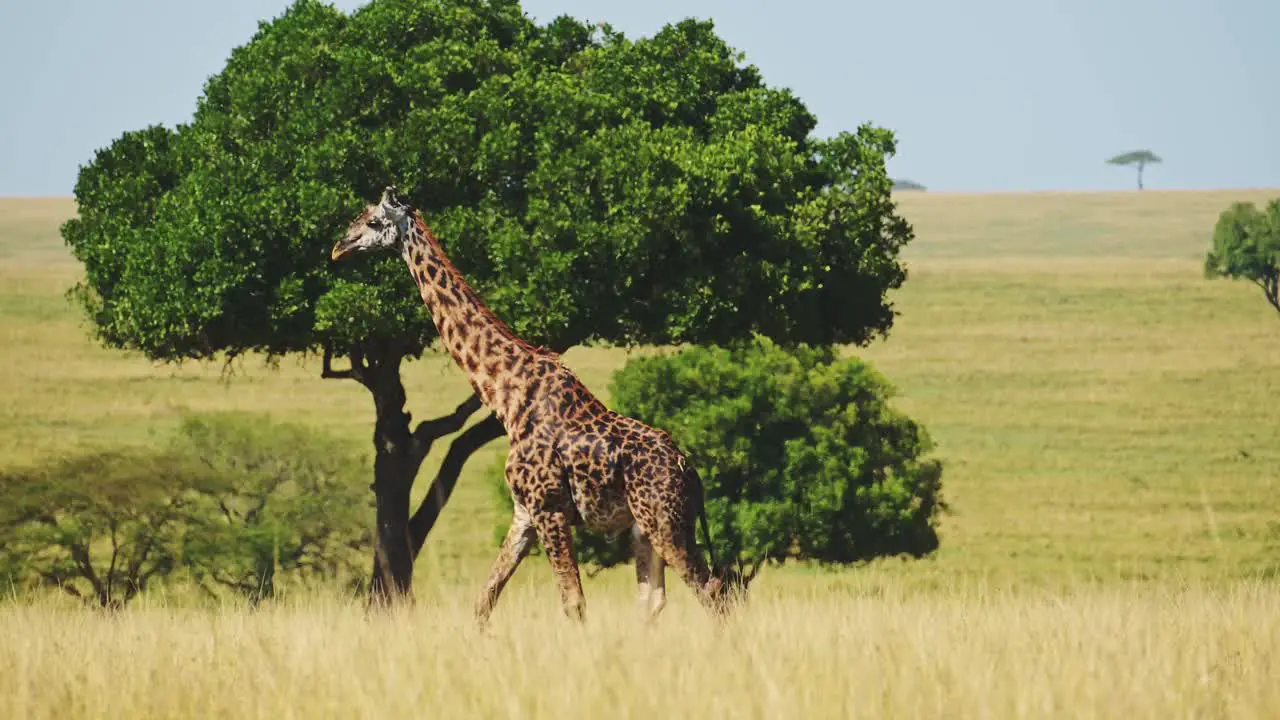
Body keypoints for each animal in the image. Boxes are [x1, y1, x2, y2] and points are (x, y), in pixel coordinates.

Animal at [332, 185, 747, 622]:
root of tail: (690, 472)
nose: (339, 248)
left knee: (712, 592)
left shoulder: (548, 506)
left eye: (373, 221)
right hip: (643, 527)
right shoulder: (524, 511)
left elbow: (573, 602)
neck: (506, 397)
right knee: (653, 600)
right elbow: (484, 600)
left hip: (665, 521)